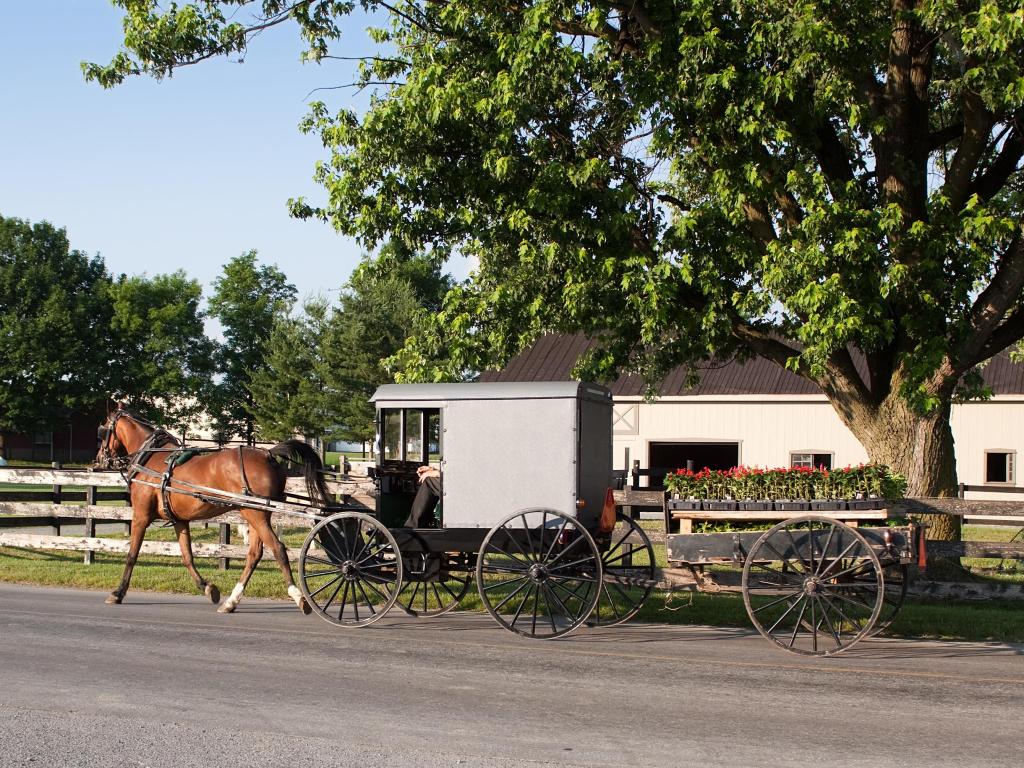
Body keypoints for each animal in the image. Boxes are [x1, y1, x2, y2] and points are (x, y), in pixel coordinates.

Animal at [94, 409, 329, 614]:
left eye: (103, 431)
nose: (99, 460)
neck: (150, 459)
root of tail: (268, 454)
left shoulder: (141, 516)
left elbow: (132, 554)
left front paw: (118, 592)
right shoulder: (179, 520)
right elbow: (187, 556)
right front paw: (208, 587)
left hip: (255, 514)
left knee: (278, 549)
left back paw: (298, 597)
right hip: (255, 513)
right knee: (254, 554)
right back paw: (231, 601)